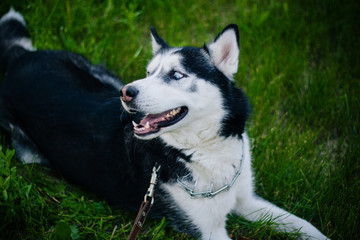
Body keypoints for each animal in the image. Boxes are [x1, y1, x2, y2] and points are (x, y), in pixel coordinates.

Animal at [0, 8, 330, 239]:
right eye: (149, 72)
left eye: (176, 75)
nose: (127, 93)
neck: (203, 152)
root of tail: (17, 59)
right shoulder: (209, 231)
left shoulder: (245, 199)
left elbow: (306, 225)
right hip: (29, 152)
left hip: (107, 77)